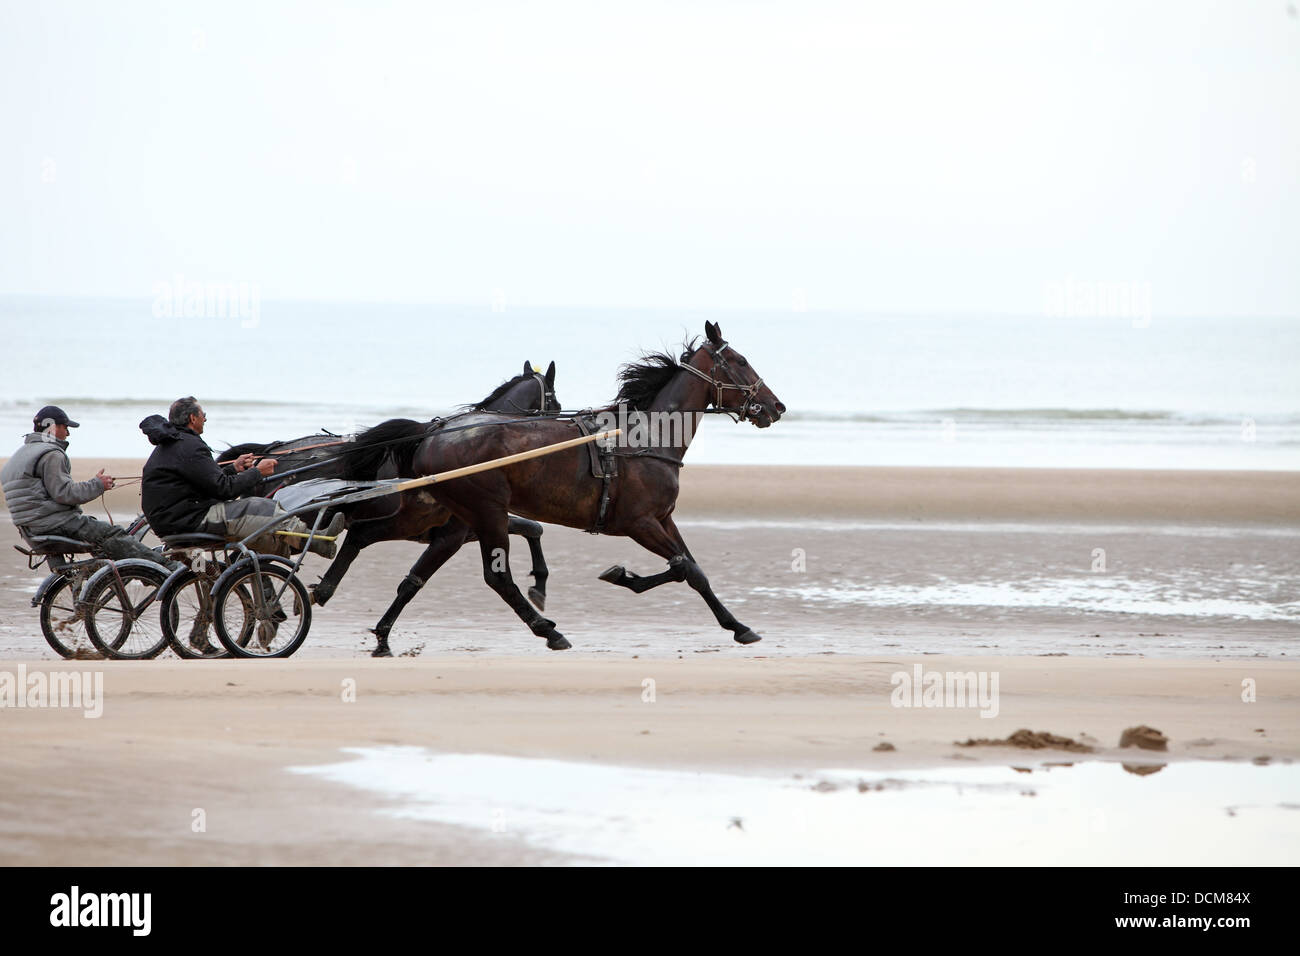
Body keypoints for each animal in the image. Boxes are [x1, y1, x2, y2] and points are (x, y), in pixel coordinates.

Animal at [219, 361, 561, 656]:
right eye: (555, 405)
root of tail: (270, 453)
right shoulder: (451, 534)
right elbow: (411, 583)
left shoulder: (473, 525)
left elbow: (533, 528)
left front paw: (540, 585)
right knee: (245, 555)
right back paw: (268, 611)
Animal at [343, 322, 785, 650]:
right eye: (741, 360)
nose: (776, 407)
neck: (645, 438)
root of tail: (433, 435)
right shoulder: (639, 523)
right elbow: (685, 568)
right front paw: (625, 576)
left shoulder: (663, 519)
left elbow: (692, 569)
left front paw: (735, 624)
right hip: (486, 511)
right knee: (496, 578)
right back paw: (548, 631)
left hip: (464, 516)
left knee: (415, 568)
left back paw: (382, 634)